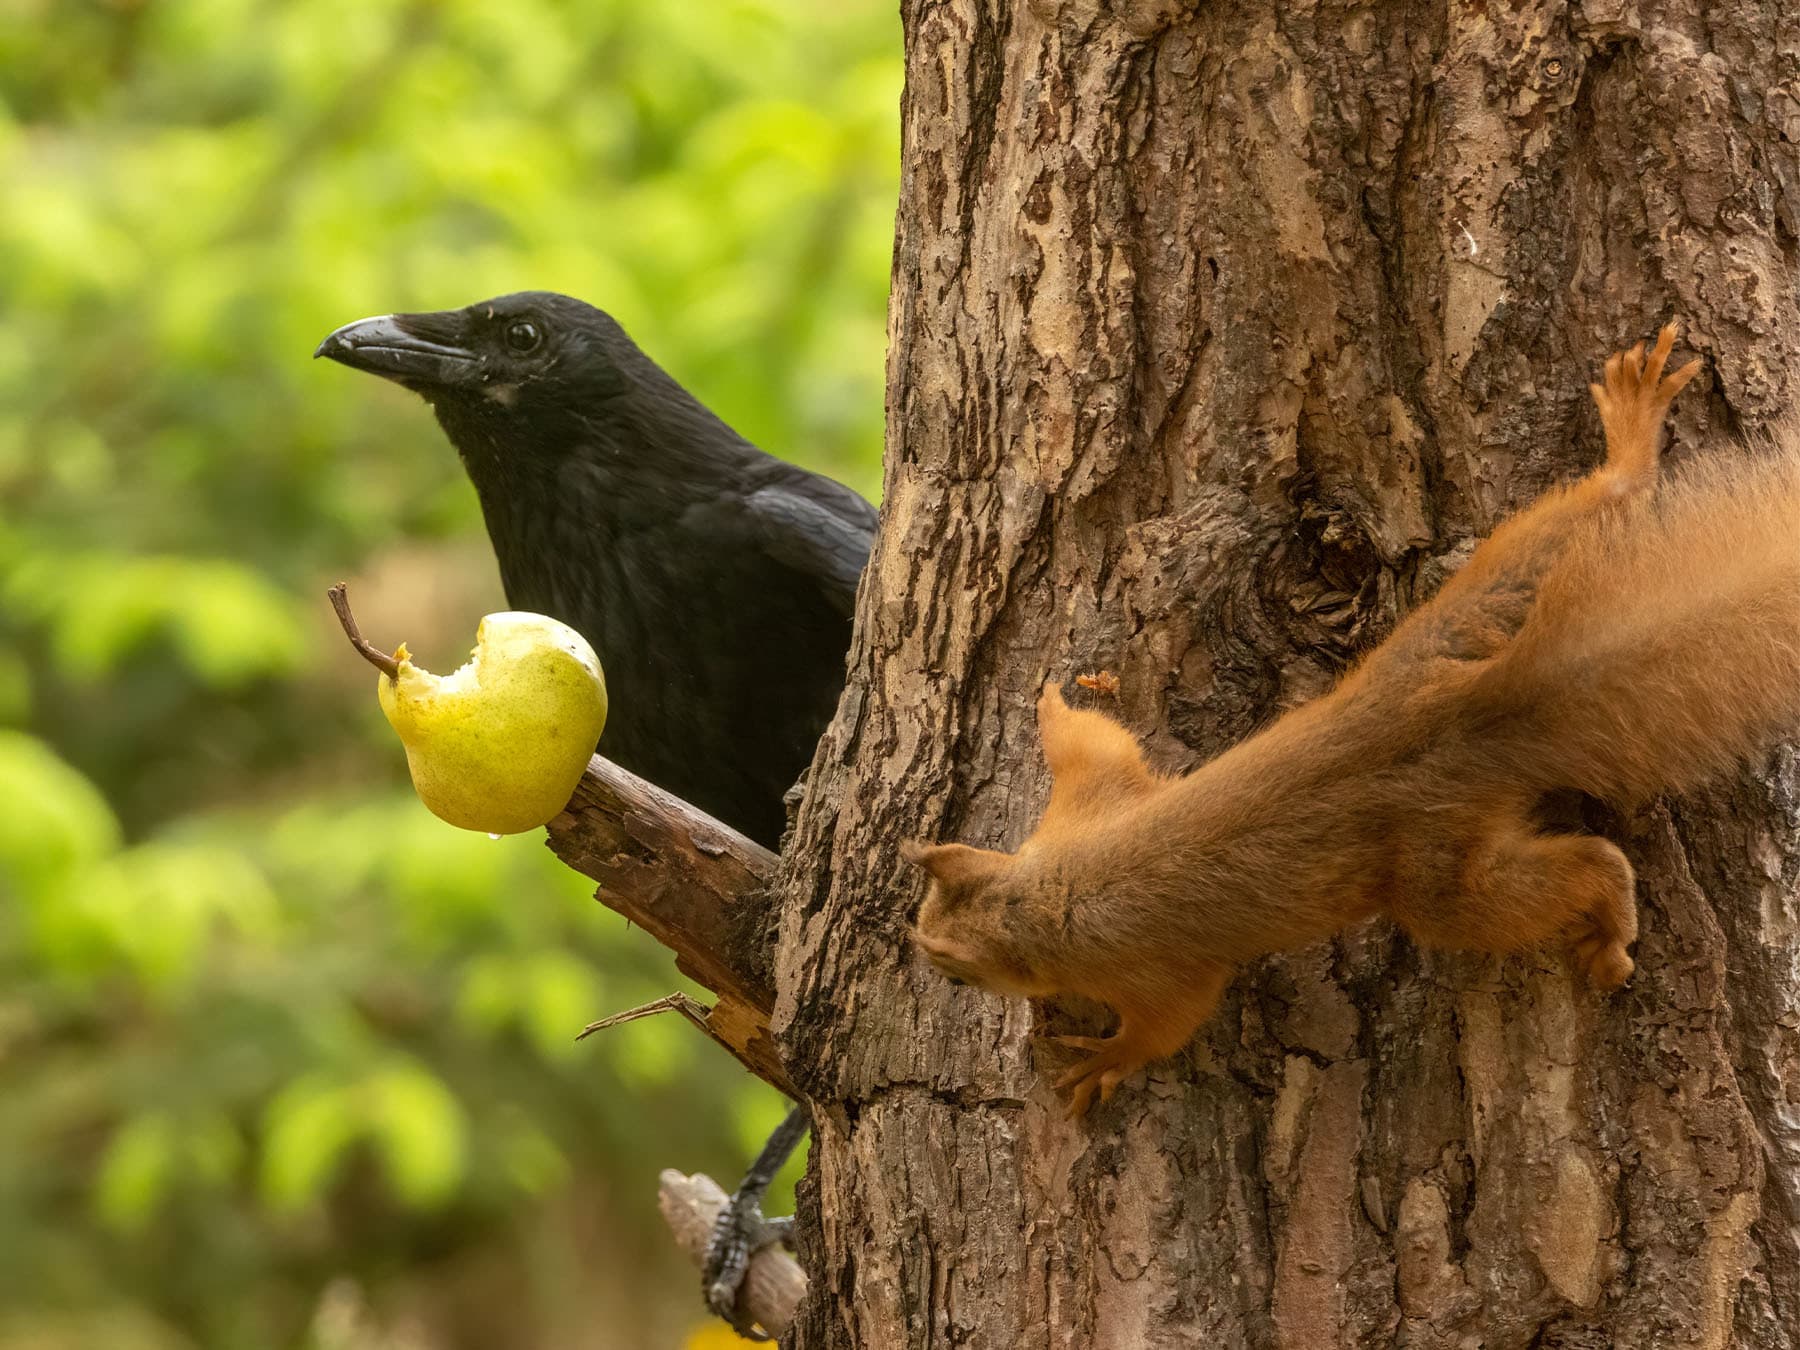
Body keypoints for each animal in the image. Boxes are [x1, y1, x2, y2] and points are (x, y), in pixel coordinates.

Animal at [899, 322, 1800, 1117]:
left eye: (958, 972)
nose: (928, 967)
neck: (1043, 891)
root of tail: (1458, 717)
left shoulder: (1149, 966)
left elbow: (1169, 1021)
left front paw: (1104, 1061)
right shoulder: (1091, 804)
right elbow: (1101, 747)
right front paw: (1054, 703)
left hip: (1440, 882)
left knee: (1570, 872)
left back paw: (1610, 922)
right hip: (1467, 614)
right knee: (1587, 513)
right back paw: (1629, 444)